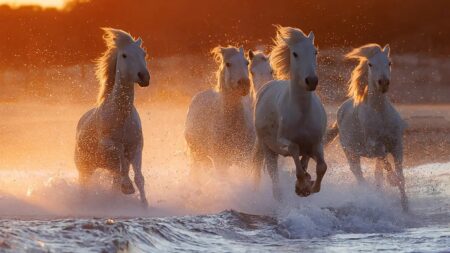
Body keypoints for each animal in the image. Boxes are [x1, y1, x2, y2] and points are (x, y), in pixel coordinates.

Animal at [74, 28, 150, 206]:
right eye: (124, 55)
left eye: (143, 53)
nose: (144, 77)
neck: (120, 116)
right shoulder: (107, 144)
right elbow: (118, 153)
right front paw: (127, 186)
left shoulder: (137, 147)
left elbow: (139, 178)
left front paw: (144, 205)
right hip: (84, 168)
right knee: (85, 185)